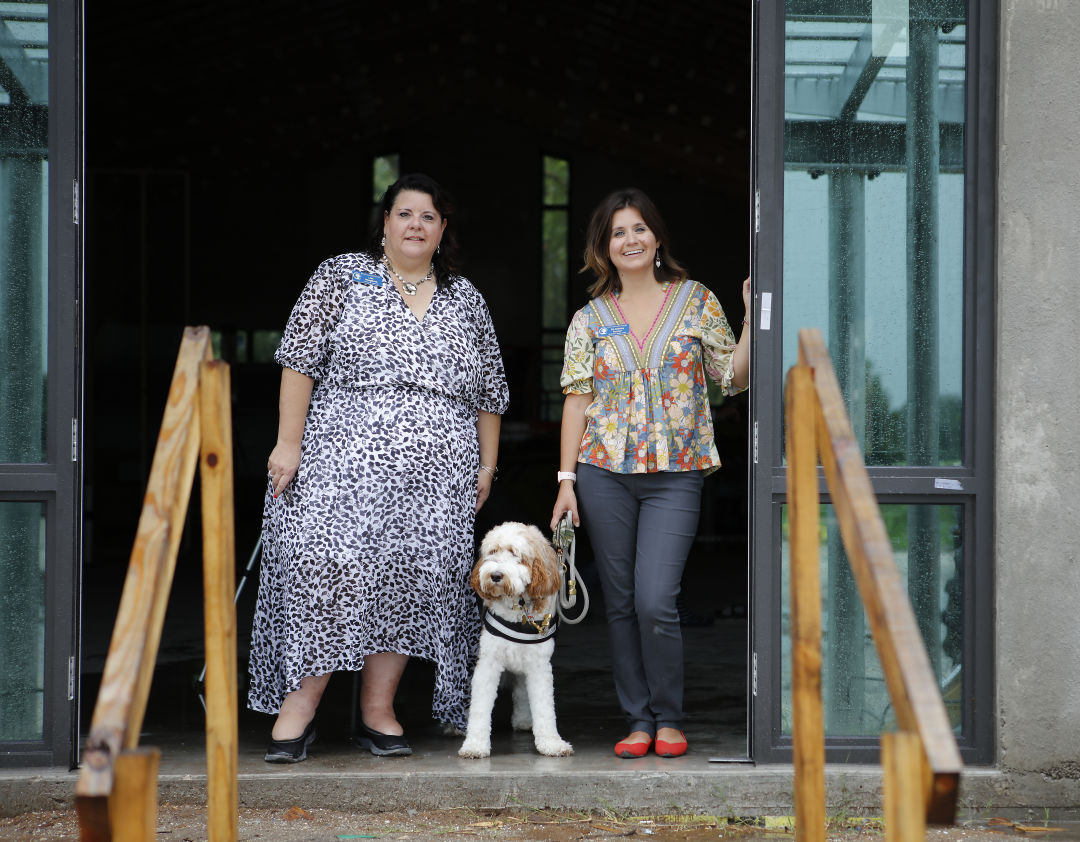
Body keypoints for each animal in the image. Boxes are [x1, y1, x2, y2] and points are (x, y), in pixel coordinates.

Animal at [455, 522, 574, 759]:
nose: (495, 575)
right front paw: (475, 744)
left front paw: (551, 743)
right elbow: (480, 707)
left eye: (515, 554)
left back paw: (524, 720)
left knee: (521, 690)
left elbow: (544, 707)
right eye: (493, 552)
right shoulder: (488, 663)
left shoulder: (538, 665)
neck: (517, 609)